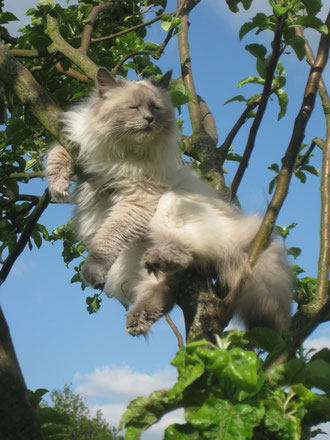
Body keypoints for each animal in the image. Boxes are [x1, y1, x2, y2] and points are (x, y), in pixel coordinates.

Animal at [46, 67, 292, 336]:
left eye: (155, 108)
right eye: (134, 107)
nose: (148, 119)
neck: (123, 152)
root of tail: (247, 228)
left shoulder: (138, 201)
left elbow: (106, 241)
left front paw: (93, 269)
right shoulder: (79, 150)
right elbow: (58, 155)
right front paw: (58, 187)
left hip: (171, 205)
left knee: (183, 258)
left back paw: (157, 259)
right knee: (164, 286)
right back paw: (138, 319)